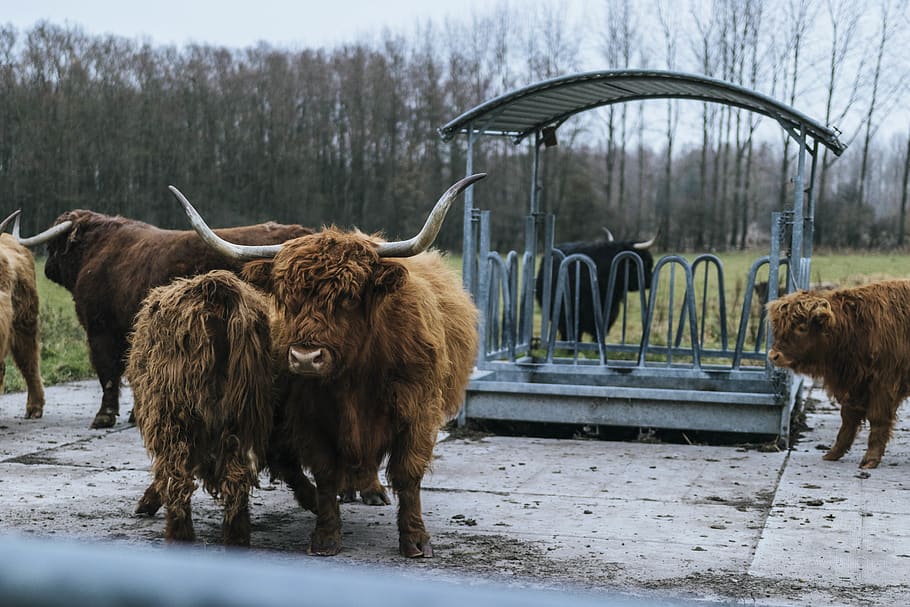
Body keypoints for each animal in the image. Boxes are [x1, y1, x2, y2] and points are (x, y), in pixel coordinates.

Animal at [12, 210, 312, 429]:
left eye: (54, 246)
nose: (47, 268)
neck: (97, 251)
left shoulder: (101, 331)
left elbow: (108, 373)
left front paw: (104, 416)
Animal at [169, 173, 484, 557]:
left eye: (348, 296)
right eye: (286, 296)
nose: (306, 357)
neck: (355, 376)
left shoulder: (418, 410)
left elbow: (408, 475)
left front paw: (415, 539)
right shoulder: (311, 416)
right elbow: (326, 473)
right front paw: (326, 535)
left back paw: (371, 491)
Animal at [767, 280, 910, 469]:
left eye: (802, 328)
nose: (773, 356)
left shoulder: (883, 384)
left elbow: (878, 420)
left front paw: (870, 460)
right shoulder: (854, 385)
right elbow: (848, 420)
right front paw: (833, 453)